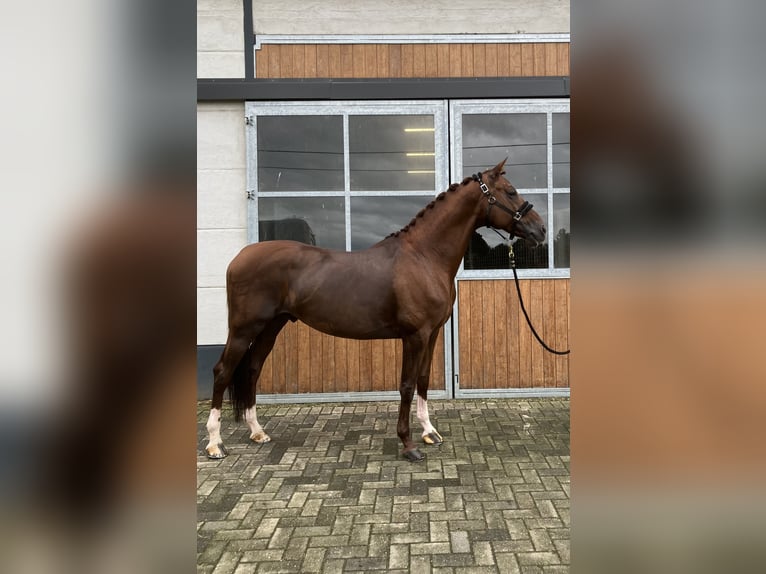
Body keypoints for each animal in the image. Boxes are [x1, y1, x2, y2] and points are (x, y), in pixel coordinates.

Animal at [207, 161, 548, 464]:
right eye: (511, 191)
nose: (540, 229)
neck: (424, 256)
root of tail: (238, 258)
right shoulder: (414, 336)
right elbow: (407, 385)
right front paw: (408, 445)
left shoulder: (432, 333)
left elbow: (423, 379)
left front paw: (429, 432)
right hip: (243, 329)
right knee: (223, 371)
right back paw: (215, 444)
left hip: (271, 327)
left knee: (252, 369)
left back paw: (257, 432)